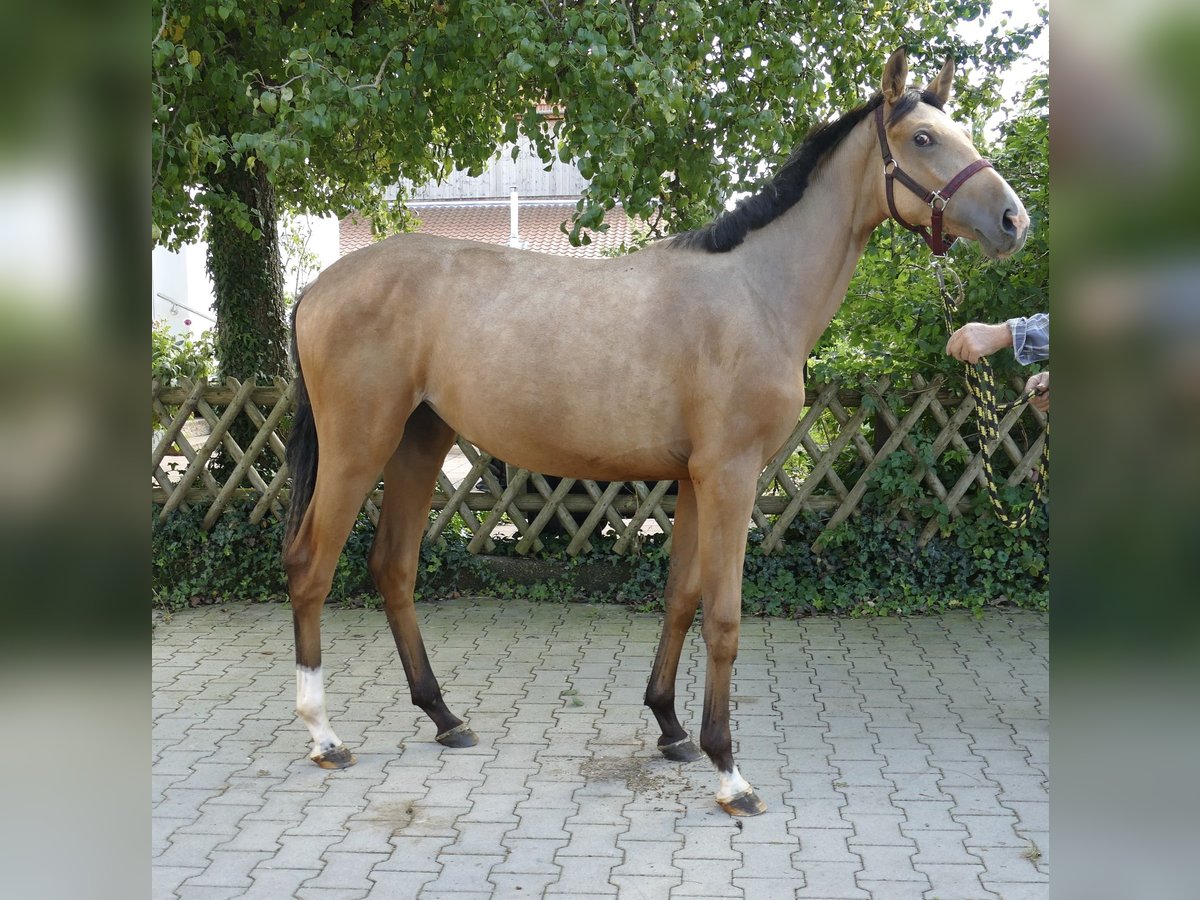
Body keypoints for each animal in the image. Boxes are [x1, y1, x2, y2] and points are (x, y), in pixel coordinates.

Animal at [280, 52, 1022, 820]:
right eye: (923, 139)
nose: (1013, 220)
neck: (756, 292)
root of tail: (316, 289)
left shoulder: (696, 480)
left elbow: (681, 598)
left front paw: (671, 727)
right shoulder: (730, 476)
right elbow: (723, 618)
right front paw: (730, 771)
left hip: (420, 442)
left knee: (392, 567)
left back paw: (444, 717)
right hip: (358, 447)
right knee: (311, 566)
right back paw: (324, 734)